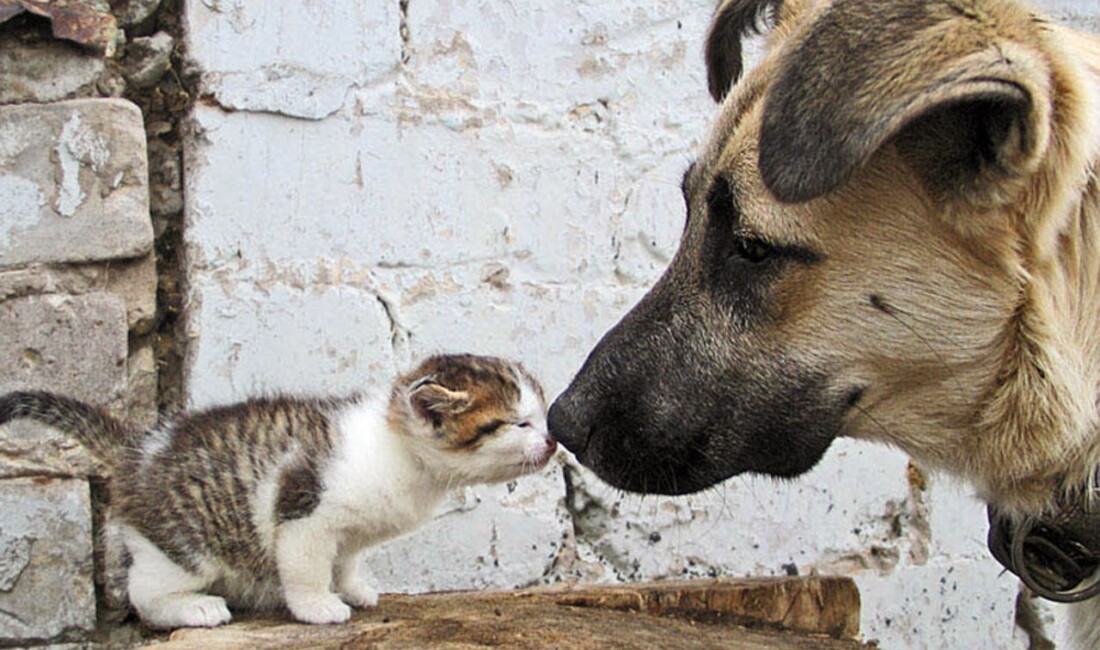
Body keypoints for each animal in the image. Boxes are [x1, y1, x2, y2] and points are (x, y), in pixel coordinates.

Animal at [0, 354, 554, 629]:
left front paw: (353, 587)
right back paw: (195, 609)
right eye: (519, 423)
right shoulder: (305, 512)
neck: (400, 452)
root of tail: (140, 450)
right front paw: (319, 607)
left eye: (542, 417)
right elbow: (306, 570)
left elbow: (345, 560)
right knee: (145, 592)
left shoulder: (348, 532)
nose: (552, 441)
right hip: (184, 547)